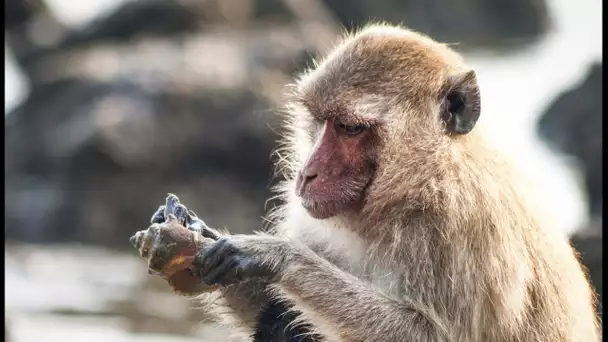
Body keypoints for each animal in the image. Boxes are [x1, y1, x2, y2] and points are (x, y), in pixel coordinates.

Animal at [131, 24, 600, 342]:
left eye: (351, 129)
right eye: (320, 121)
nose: (307, 173)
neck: (415, 186)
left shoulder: (467, 232)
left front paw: (276, 256)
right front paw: (188, 237)